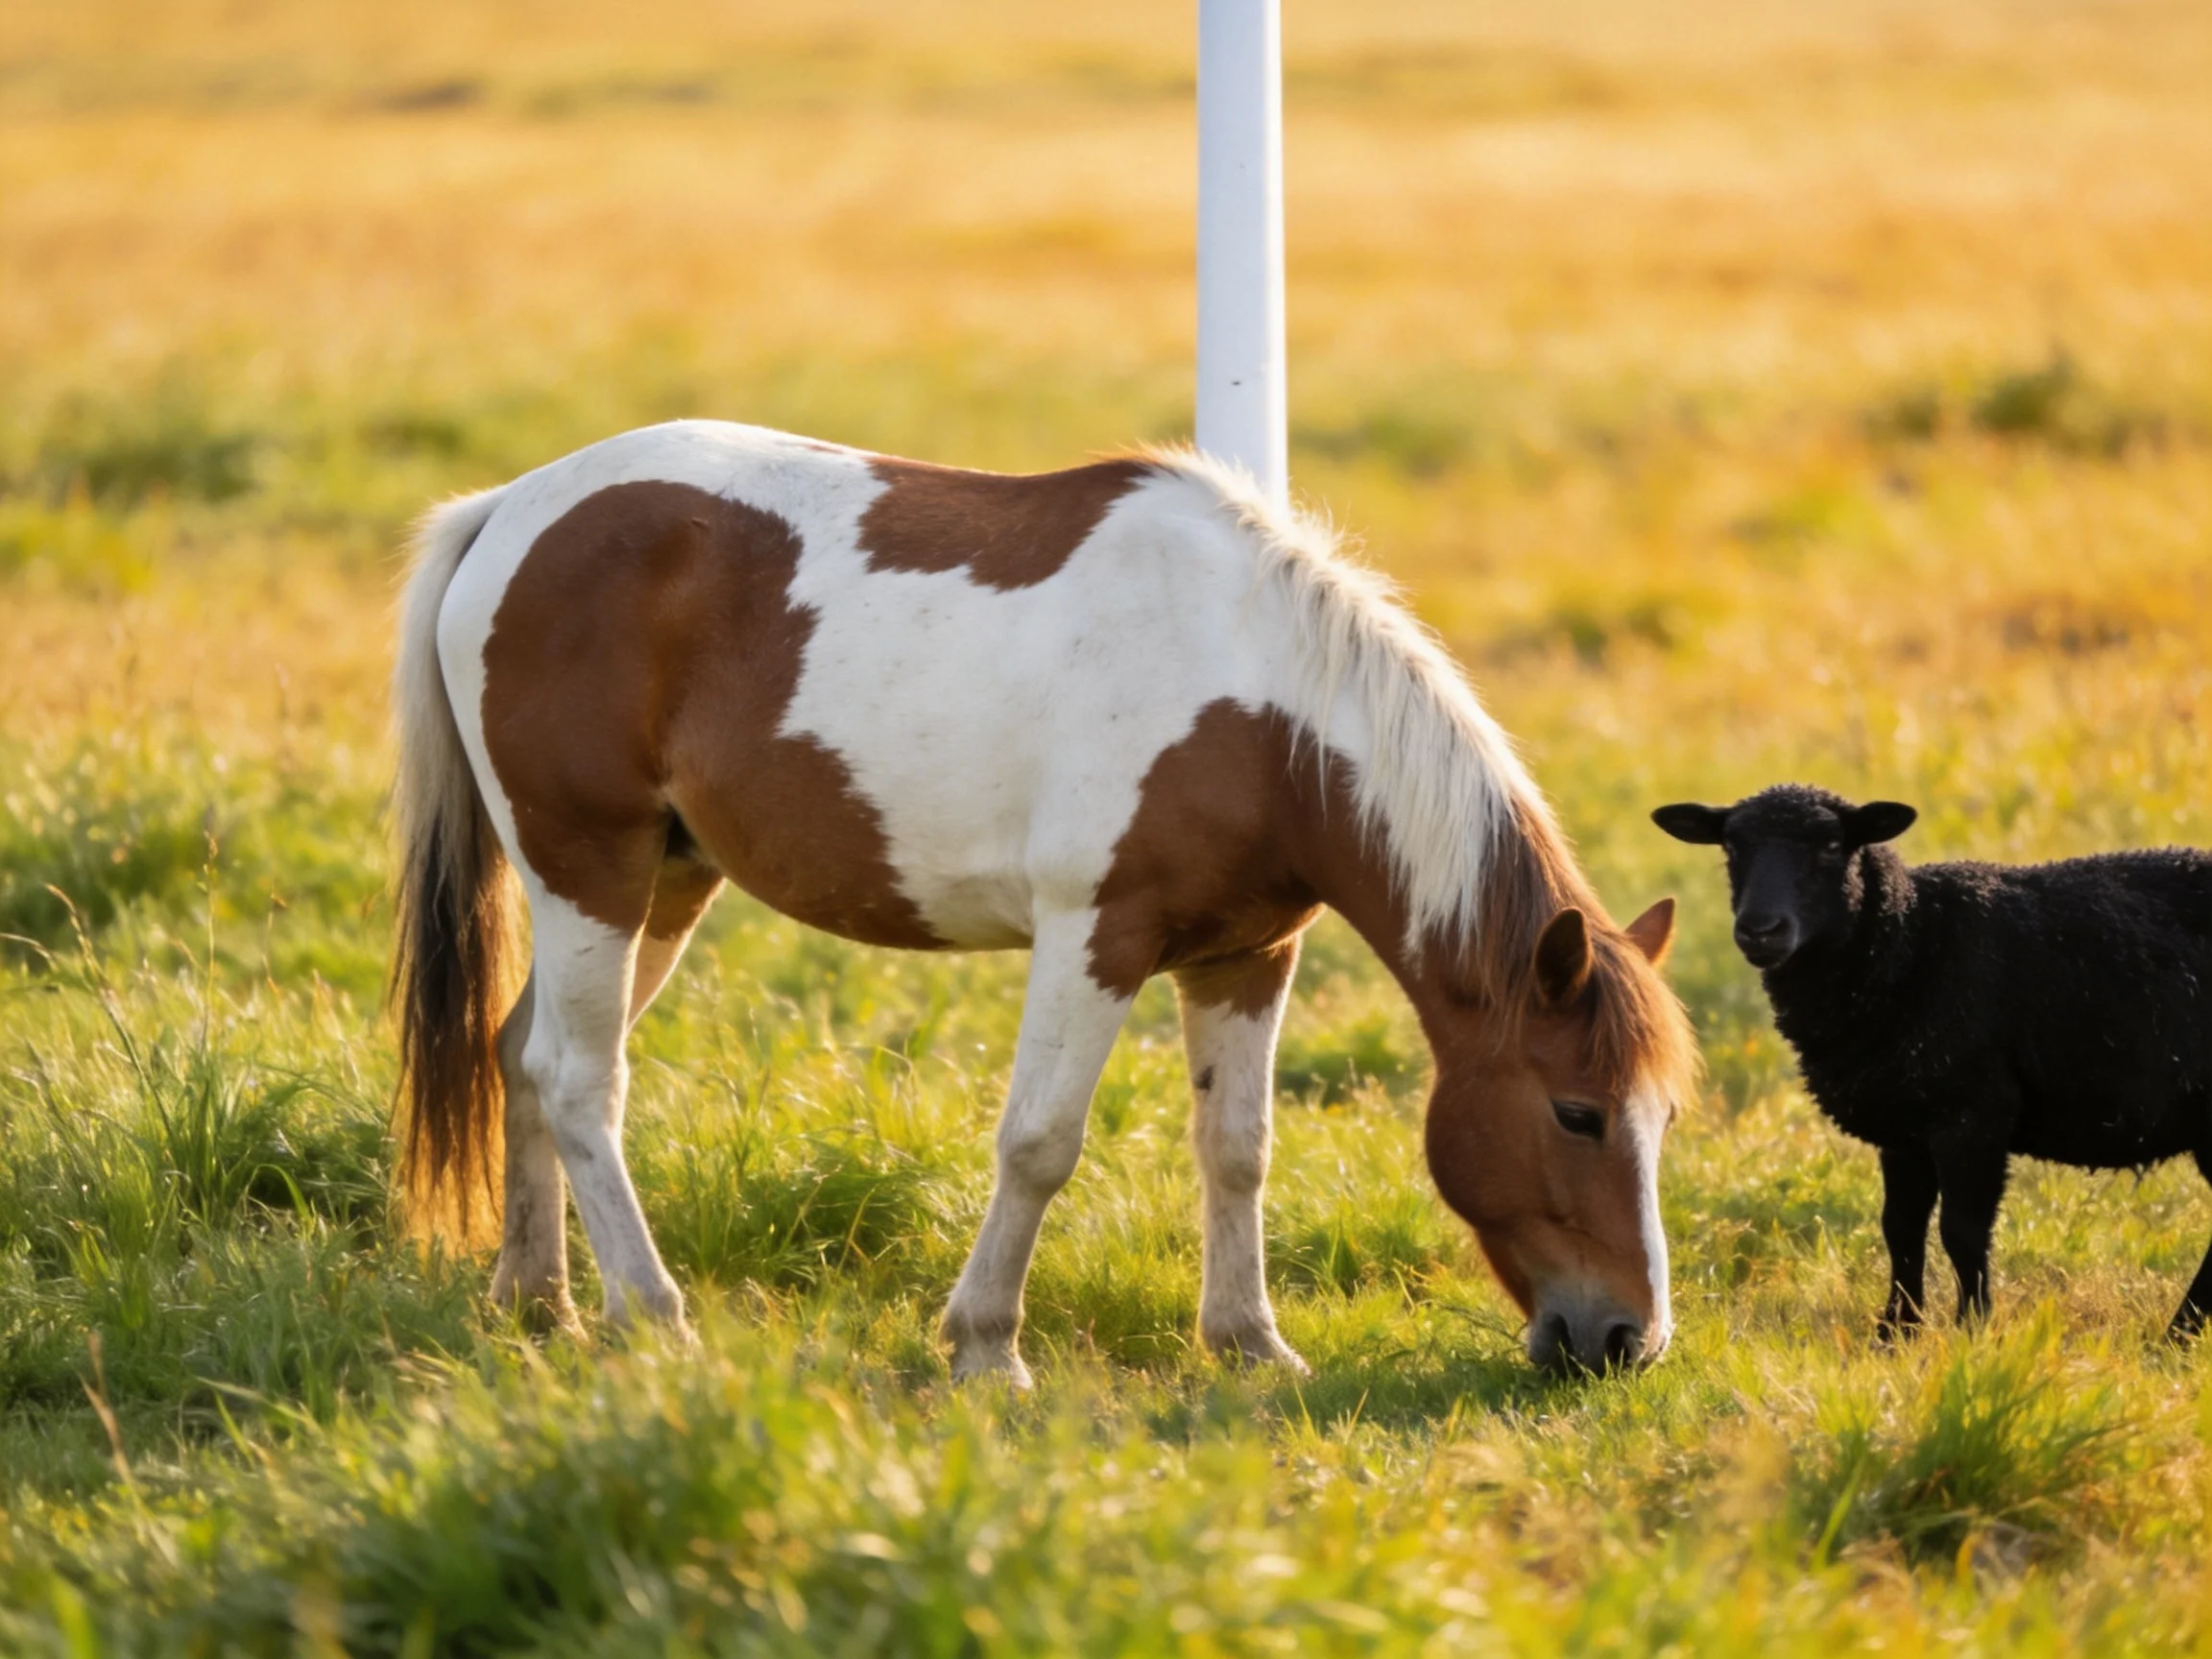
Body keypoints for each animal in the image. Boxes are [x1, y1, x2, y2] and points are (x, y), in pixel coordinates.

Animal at [390, 420, 1697, 1379]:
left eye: (1664, 1117)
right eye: (1578, 1112)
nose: (1626, 1341)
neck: (1260, 707)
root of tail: (508, 510)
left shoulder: (1248, 956)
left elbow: (1237, 1149)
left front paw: (1250, 1345)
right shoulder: (1094, 937)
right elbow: (1039, 1144)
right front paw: (985, 1348)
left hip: (664, 882)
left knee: (520, 1054)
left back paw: (541, 1302)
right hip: (590, 872)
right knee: (577, 1079)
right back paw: (654, 1314)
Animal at [1653, 783, 2212, 1340]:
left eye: (1832, 846)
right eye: (1731, 847)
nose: (1760, 931)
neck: (1911, 942)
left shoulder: (1974, 1113)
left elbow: (1962, 1231)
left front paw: (1973, 1329)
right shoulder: (1903, 1125)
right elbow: (1900, 1228)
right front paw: (1896, 1331)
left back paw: (2179, 1331)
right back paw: (2181, 1333)